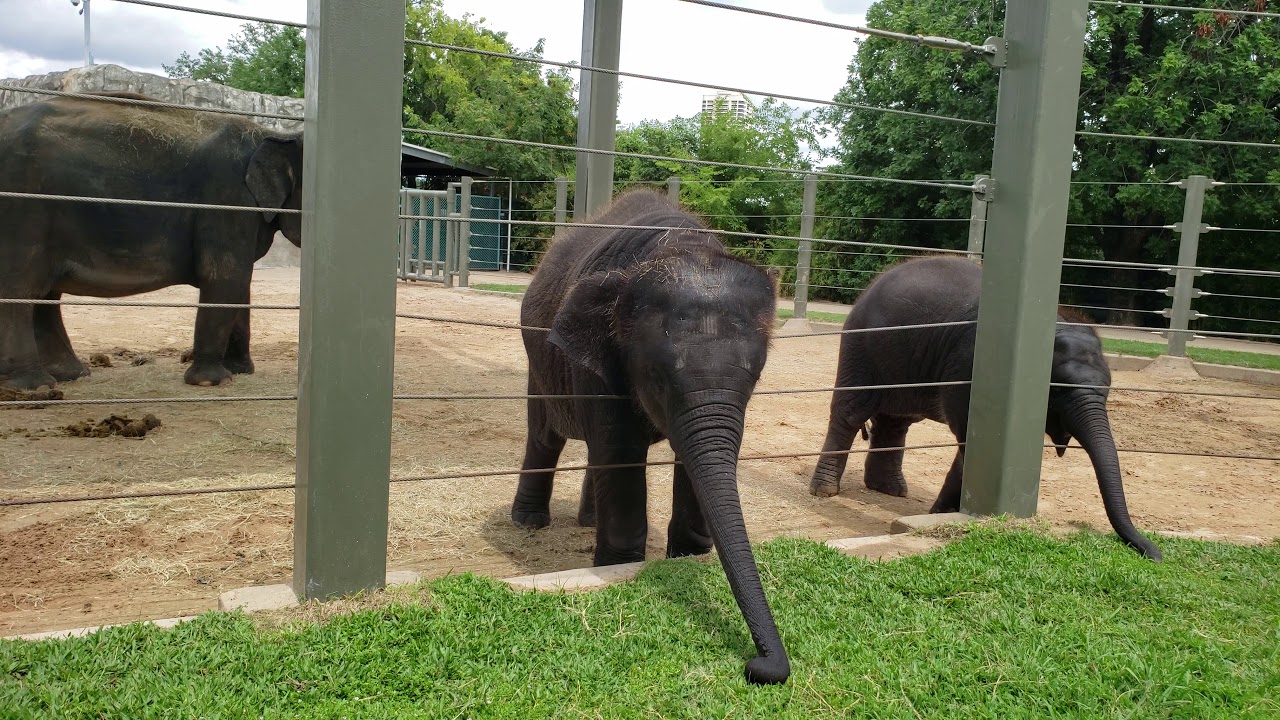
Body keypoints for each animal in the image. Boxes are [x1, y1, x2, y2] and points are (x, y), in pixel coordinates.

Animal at [0, 93, 303, 390]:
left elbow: (240, 282)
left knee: (44, 292)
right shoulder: (226, 199)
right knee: (21, 288)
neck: (272, 134)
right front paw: (211, 381)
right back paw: (35, 386)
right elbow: (225, 275)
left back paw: (71, 375)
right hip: (22, 207)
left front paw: (240, 371)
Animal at [510, 189, 790, 684]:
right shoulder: (600, 361)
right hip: (539, 360)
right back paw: (528, 523)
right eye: (657, 378)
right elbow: (619, 452)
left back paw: (587, 520)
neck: (679, 244)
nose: (759, 665)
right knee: (546, 436)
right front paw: (619, 567)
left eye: (756, 377)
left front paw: (687, 558)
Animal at [808, 256, 1162, 561]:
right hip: (860, 346)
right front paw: (943, 514)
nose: (1155, 554)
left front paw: (940, 513)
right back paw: (825, 492)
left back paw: (891, 491)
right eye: (1059, 390)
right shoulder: (971, 369)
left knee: (897, 420)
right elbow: (969, 436)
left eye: (1108, 390)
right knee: (851, 411)